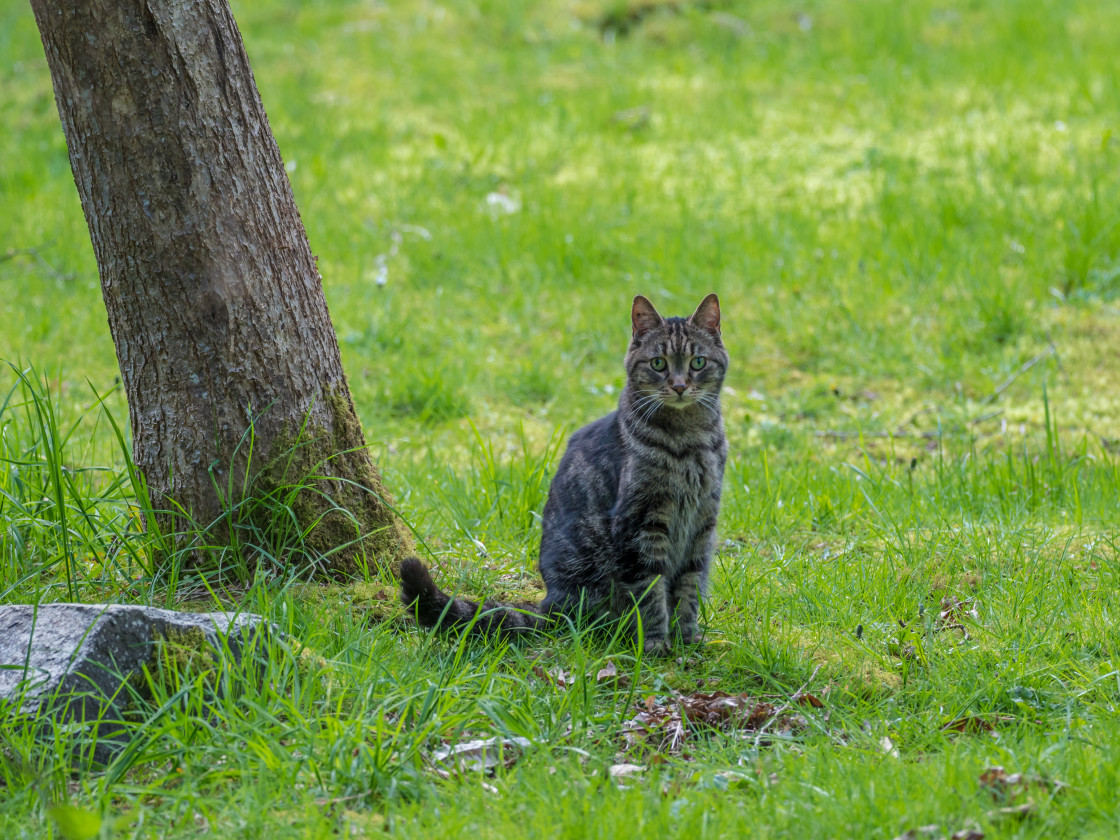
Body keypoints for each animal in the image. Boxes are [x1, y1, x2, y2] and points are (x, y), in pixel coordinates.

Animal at [398, 295, 730, 658]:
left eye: (698, 362)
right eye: (658, 363)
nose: (680, 386)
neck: (688, 441)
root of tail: (552, 601)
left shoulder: (703, 522)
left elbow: (689, 589)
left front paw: (686, 638)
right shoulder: (641, 524)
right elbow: (650, 590)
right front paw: (656, 643)